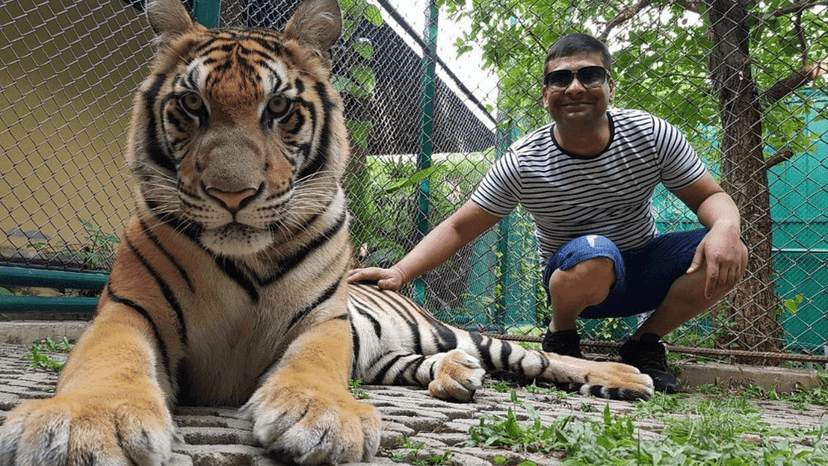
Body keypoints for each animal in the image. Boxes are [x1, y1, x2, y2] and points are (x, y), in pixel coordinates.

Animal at [0, 0, 653, 464]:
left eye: (278, 109)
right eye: (191, 106)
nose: (232, 195)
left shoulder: (323, 321)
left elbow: (313, 365)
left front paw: (322, 416)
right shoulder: (128, 311)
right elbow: (109, 361)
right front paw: (85, 424)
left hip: (463, 335)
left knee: (542, 358)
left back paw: (627, 376)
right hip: (394, 361)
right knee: (440, 367)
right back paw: (457, 377)